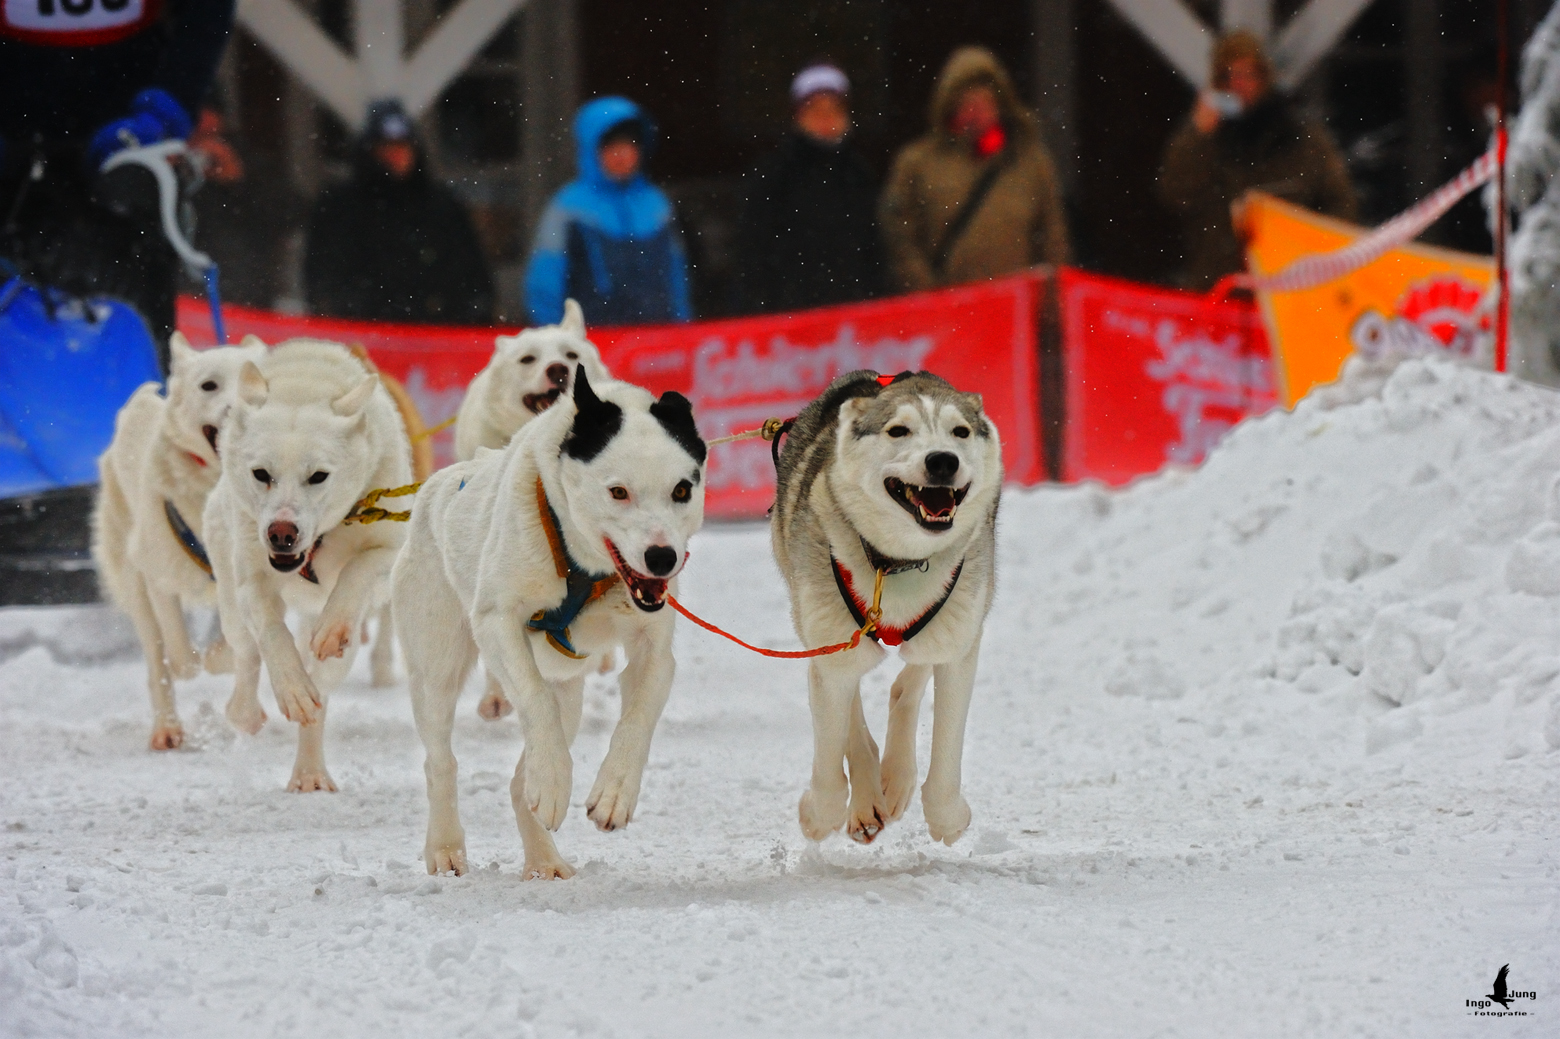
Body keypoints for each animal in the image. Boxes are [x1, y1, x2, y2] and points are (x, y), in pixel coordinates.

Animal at [92, 332, 268, 745]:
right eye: (209, 385)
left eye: (256, 377)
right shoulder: (159, 575)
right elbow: (181, 657)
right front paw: (190, 664)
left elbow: (229, 645)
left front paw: (218, 658)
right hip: (135, 584)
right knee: (157, 661)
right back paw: (167, 728)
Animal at [207, 338, 414, 786]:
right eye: (261, 473)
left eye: (318, 476)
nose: (281, 533)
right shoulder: (253, 578)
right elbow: (272, 634)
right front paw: (291, 687)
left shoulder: (391, 547)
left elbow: (358, 569)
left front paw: (333, 624)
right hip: (230, 604)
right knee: (248, 655)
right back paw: (248, 712)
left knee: (321, 698)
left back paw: (309, 770)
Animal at [393, 363, 705, 873]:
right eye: (618, 491)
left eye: (682, 489)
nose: (662, 557)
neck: (581, 566)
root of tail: (439, 484)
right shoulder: (498, 620)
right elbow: (534, 698)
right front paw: (556, 781)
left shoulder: (654, 648)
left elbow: (639, 716)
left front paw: (615, 790)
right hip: (436, 670)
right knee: (442, 761)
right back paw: (446, 845)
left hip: (569, 697)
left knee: (523, 779)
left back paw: (543, 859)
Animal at [773, 368, 1004, 848]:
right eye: (898, 430)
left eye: (960, 432)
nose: (943, 461)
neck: (897, 562)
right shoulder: (831, 650)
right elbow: (831, 759)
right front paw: (819, 814)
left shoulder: (957, 644)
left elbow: (945, 752)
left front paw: (947, 816)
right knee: (854, 708)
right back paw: (867, 800)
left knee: (909, 679)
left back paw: (895, 779)